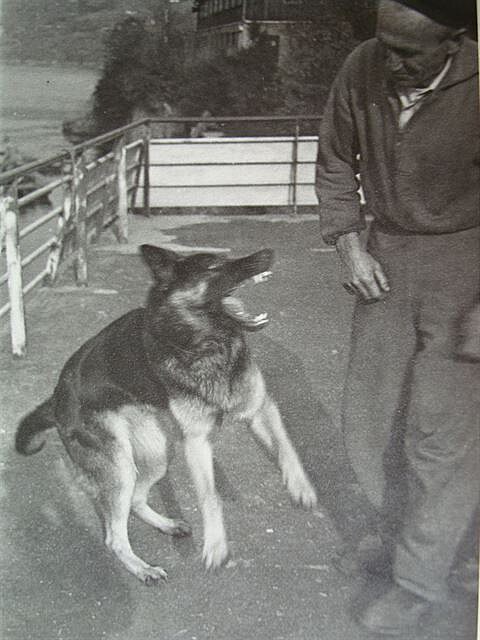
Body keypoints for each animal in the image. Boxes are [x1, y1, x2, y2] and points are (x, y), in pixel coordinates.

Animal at [16, 245, 318, 584]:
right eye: (214, 266)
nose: (267, 252)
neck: (210, 344)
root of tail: (55, 398)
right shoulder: (197, 442)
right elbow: (209, 498)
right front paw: (216, 545)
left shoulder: (261, 407)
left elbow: (287, 446)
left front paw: (301, 486)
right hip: (121, 467)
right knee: (114, 536)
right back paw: (141, 567)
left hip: (158, 453)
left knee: (136, 500)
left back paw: (167, 525)